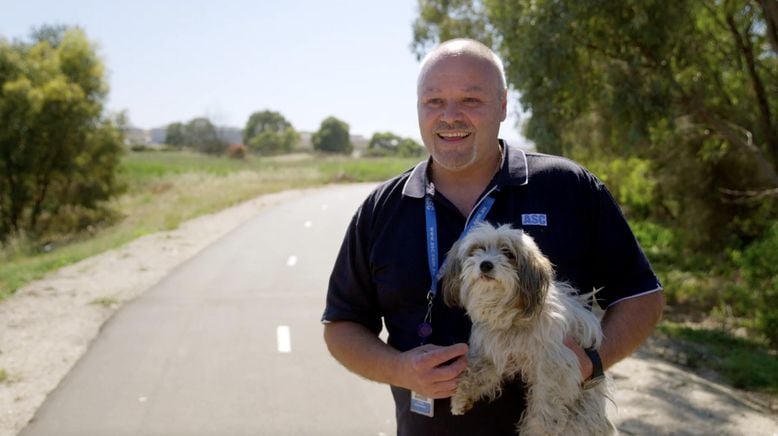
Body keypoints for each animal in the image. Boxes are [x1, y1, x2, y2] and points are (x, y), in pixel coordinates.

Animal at [442, 223, 612, 434]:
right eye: (475, 250)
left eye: (508, 253)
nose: (485, 265)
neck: (513, 319)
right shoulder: (494, 351)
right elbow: (477, 371)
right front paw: (461, 397)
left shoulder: (553, 365)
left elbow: (546, 404)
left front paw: (540, 429)